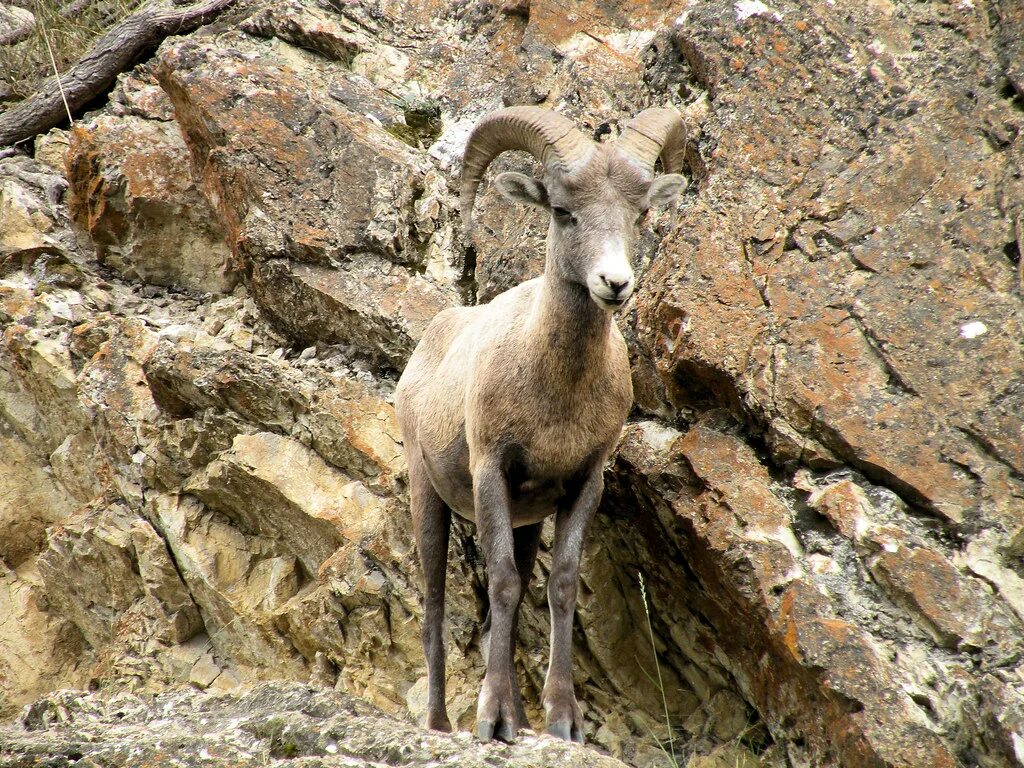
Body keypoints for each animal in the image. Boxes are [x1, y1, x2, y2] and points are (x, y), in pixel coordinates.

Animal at [395, 108, 684, 745]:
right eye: (563, 211)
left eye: (639, 214)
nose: (615, 283)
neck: (556, 392)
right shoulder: (491, 472)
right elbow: (502, 583)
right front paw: (492, 718)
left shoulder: (582, 485)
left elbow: (560, 586)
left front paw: (560, 722)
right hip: (428, 496)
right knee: (433, 608)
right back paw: (440, 723)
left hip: (526, 522)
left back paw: (522, 722)